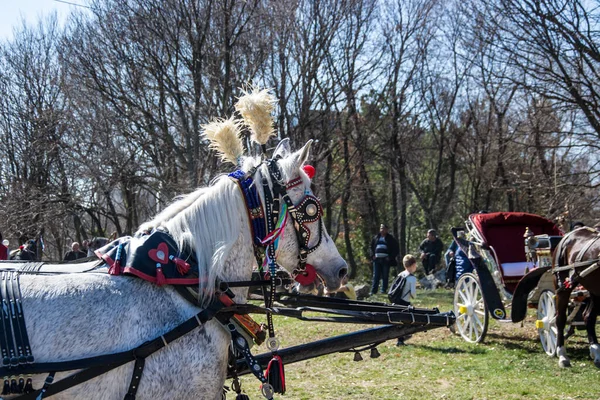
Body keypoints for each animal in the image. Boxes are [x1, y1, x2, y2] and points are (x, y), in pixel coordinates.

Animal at [552, 227, 600, 368]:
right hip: (563, 284)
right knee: (560, 319)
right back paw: (562, 354)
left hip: (594, 289)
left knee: (588, 317)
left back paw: (596, 351)